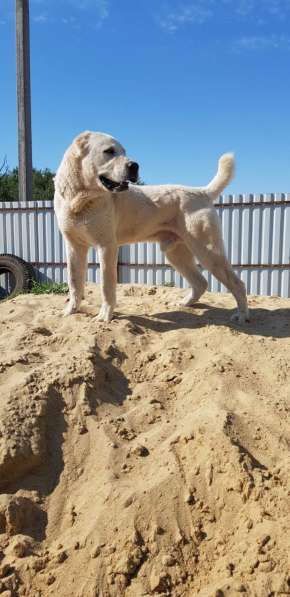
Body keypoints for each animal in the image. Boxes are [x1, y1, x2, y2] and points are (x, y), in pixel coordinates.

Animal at [53, 131, 249, 324]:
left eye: (124, 151)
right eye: (109, 151)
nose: (134, 165)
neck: (79, 200)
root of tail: (202, 191)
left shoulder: (107, 247)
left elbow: (106, 286)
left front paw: (104, 316)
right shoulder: (74, 247)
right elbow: (74, 282)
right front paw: (70, 311)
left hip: (208, 252)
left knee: (237, 284)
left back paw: (242, 315)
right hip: (177, 254)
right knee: (201, 282)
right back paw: (185, 303)